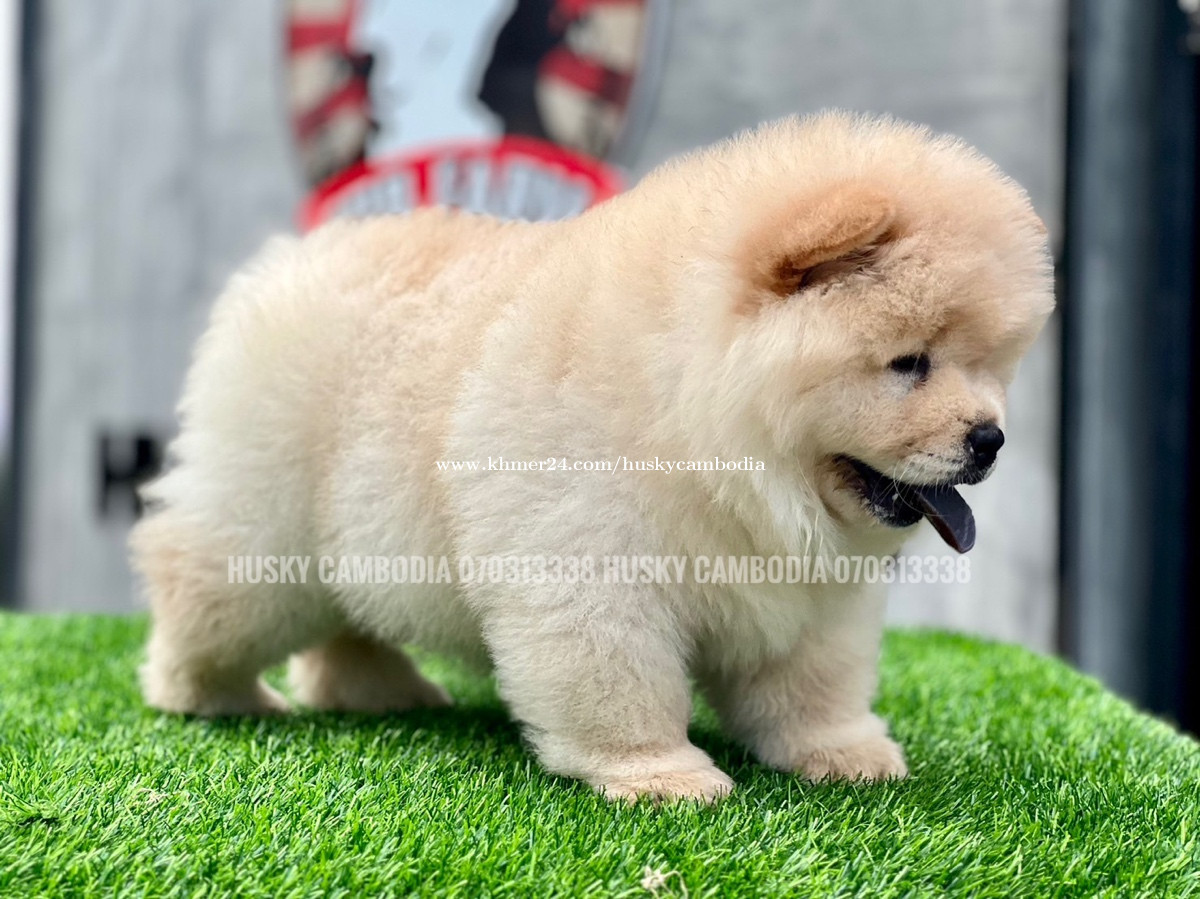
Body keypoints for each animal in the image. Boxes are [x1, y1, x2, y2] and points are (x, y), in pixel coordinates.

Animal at [131, 112, 1053, 802]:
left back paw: (377, 689)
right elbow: (623, 684)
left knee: (347, 626)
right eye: (909, 363)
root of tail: (288, 259)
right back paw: (207, 695)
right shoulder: (593, 570)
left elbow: (814, 683)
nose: (990, 438)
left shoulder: (809, 593)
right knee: (195, 583)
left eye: (989, 367)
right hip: (263, 536)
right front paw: (661, 776)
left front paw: (842, 754)